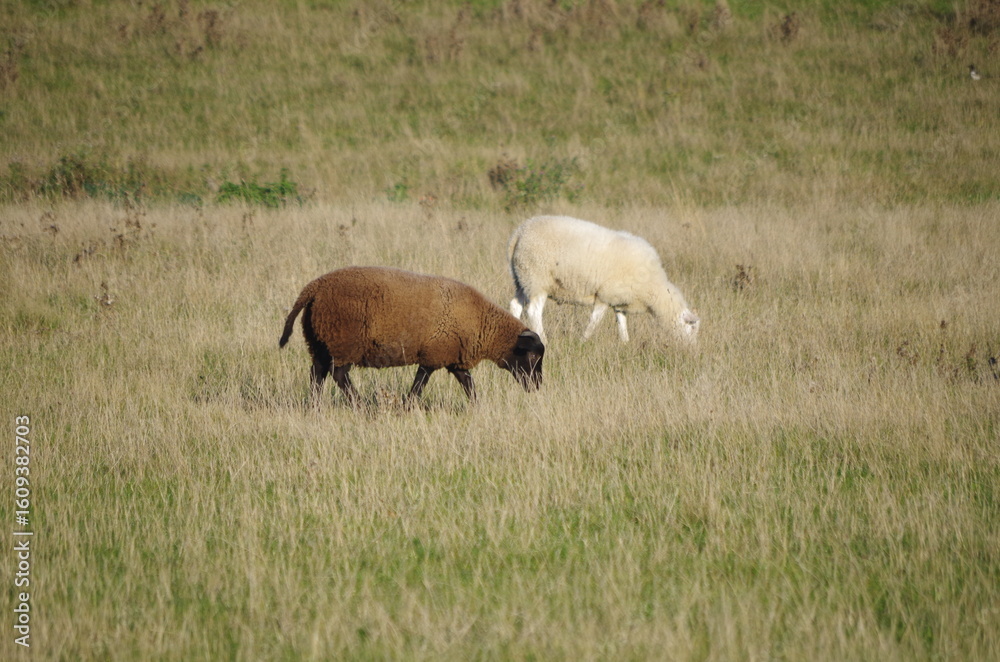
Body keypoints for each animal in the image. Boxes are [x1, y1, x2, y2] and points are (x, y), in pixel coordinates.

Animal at [279, 266, 545, 403]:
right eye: (532, 357)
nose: (538, 387)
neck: (483, 324)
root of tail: (315, 287)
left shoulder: (452, 357)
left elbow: (468, 384)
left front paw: (477, 406)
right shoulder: (434, 354)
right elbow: (420, 383)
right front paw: (407, 405)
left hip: (319, 340)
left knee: (317, 373)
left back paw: (314, 406)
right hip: (344, 341)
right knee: (338, 374)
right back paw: (360, 405)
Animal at [508, 215, 699, 345]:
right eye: (692, 327)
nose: (691, 350)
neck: (653, 287)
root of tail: (519, 232)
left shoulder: (619, 298)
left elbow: (622, 322)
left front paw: (625, 343)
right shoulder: (604, 296)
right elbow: (595, 321)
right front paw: (583, 341)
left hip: (522, 279)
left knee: (515, 305)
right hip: (537, 278)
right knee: (534, 312)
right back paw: (544, 340)